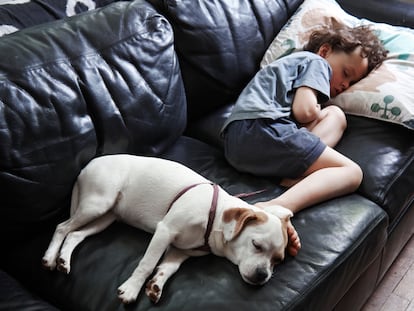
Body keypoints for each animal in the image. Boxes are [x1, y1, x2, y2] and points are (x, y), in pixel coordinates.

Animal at [42, 155, 292, 304]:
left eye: (278, 261)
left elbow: (167, 268)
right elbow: (147, 264)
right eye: (256, 245)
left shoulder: (181, 251)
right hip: (97, 204)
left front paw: (156, 285)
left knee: (75, 234)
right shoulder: (165, 232)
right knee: (62, 227)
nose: (263, 276)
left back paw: (63, 260)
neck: (216, 218)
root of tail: (87, 166)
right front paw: (131, 289)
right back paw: (50, 257)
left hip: (105, 218)